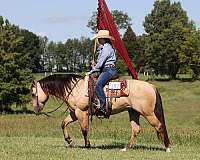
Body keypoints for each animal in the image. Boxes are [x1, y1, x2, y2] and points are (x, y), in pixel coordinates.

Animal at [30, 73, 171, 152]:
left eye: (33, 93)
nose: (35, 110)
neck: (75, 89)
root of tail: (151, 86)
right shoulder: (74, 113)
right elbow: (63, 124)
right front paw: (70, 141)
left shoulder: (81, 112)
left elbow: (84, 129)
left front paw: (87, 145)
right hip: (133, 112)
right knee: (136, 129)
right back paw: (126, 148)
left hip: (148, 113)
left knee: (159, 126)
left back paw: (167, 148)